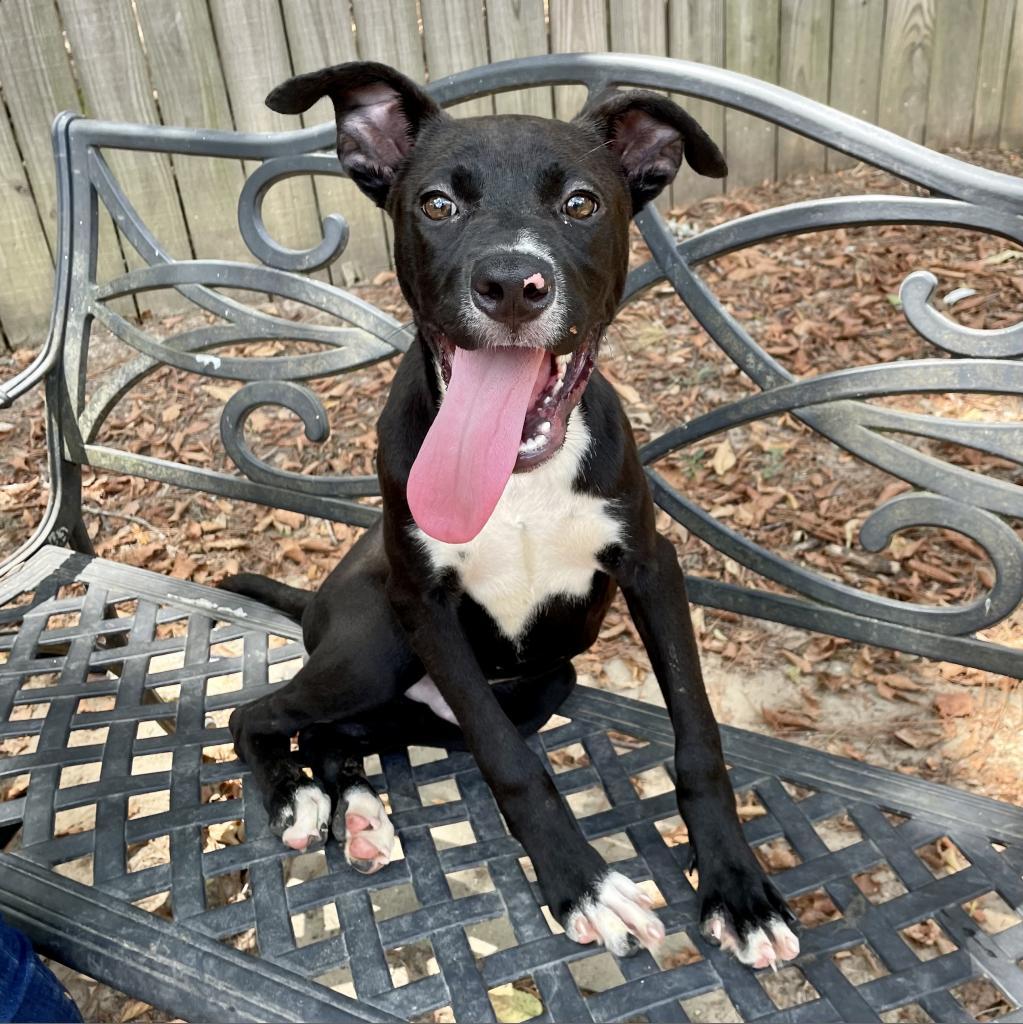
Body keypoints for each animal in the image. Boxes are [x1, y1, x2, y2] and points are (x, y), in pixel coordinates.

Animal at [226, 59, 798, 970]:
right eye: (435, 204)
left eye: (581, 203)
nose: (509, 285)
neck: (516, 480)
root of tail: (315, 599)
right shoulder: (425, 605)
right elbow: (513, 767)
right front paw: (582, 886)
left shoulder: (651, 569)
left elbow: (698, 737)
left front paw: (738, 888)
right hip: (375, 649)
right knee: (257, 714)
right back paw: (299, 801)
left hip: (530, 684)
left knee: (339, 735)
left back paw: (355, 808)